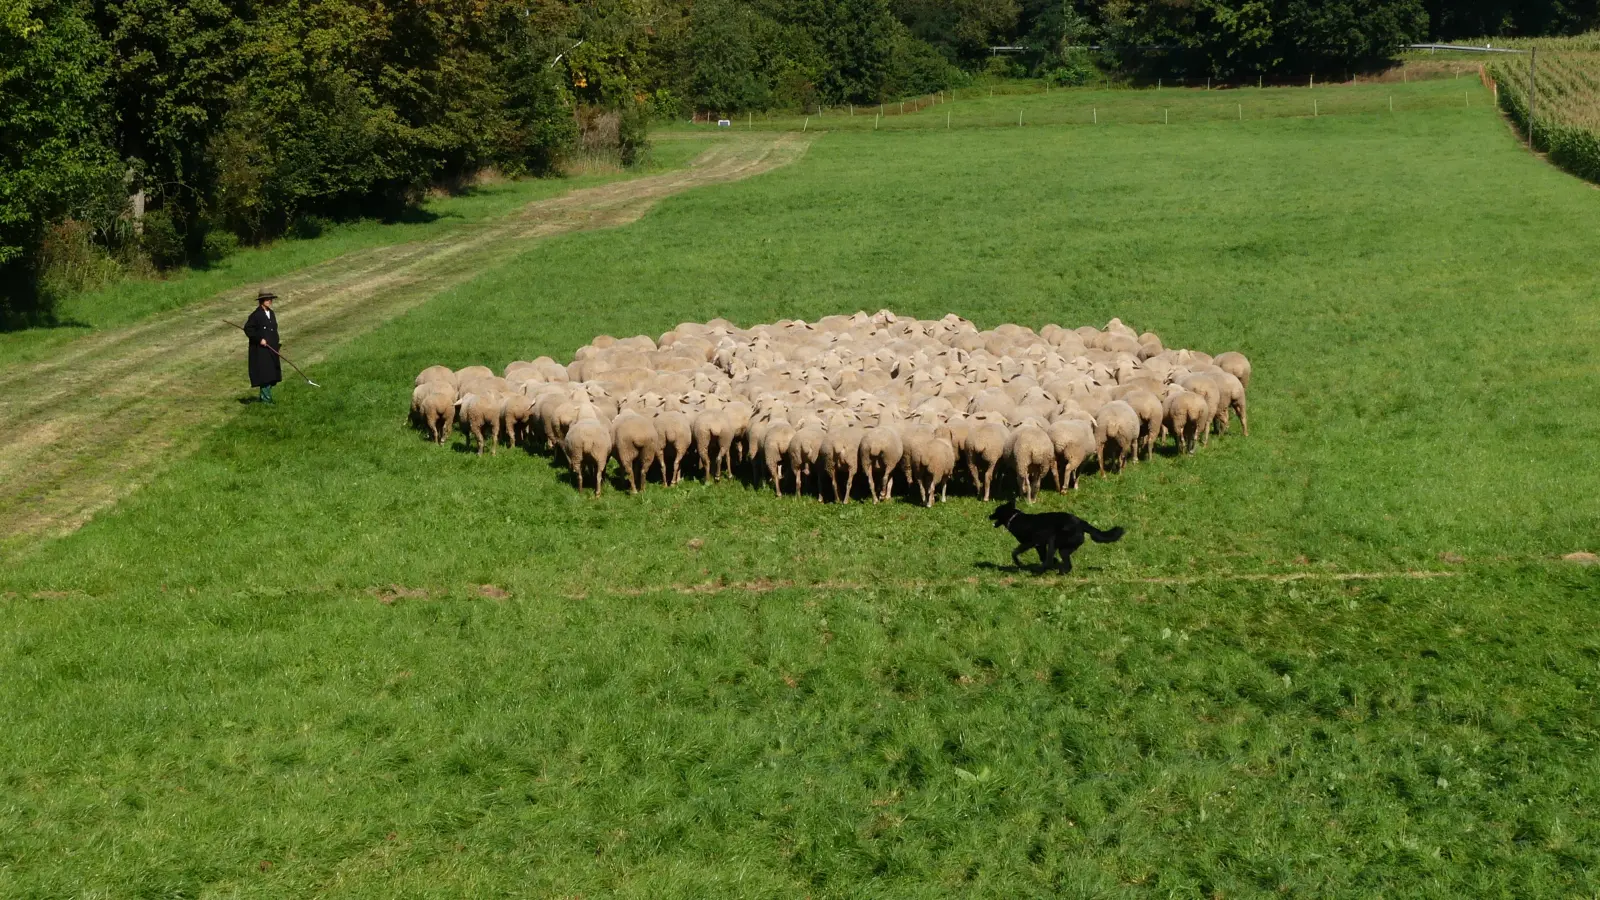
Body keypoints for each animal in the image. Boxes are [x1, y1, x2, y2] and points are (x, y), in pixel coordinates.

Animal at [985, 496, 1126, 566]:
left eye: (996, 511)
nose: (989, 516)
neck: (1015, 518)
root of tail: (1081, 522)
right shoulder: (1039, 545)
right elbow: (1042, 556)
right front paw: (1053, 562)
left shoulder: (1031, 542)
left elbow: (1014, 553)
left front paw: (1019, 563)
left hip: (1057, 540)